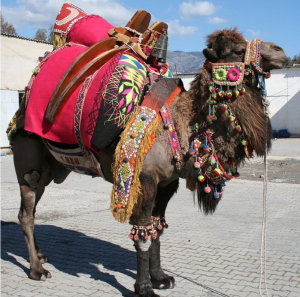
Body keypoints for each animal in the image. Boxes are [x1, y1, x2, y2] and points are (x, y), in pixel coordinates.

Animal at [7, 2, 288, 296]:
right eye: (236, 50)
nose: (280, 51)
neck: (180, 122)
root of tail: (23, 105)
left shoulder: (167, 183)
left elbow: (158, 229)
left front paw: (161, 278)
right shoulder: (144, 178)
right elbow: (142, 234)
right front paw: (144, 288)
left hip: (51, 169)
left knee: (31, 210)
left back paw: (41, 256)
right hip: (28, 161)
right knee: (26, 213)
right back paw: (37, 270)